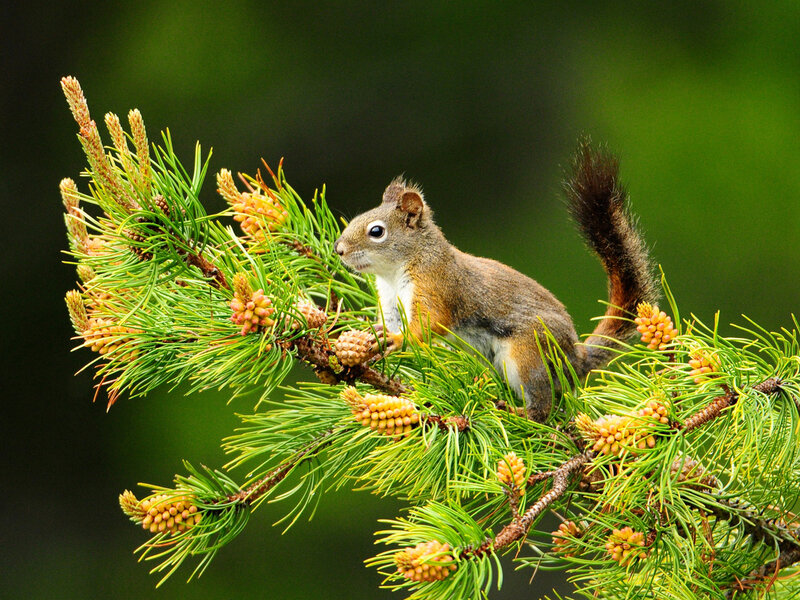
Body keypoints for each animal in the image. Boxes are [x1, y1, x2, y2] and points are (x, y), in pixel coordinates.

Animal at [334, 140, 657, 422]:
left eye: (377, 231)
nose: (339, 250)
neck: (394, 272)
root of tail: (575, 358)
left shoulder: (436, 286)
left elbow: (429, 323)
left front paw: (398, 339)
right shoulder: (390, 302)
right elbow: (389, 322)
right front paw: (373, 335)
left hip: (528, 353)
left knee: (543, 405)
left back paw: (520, 413)